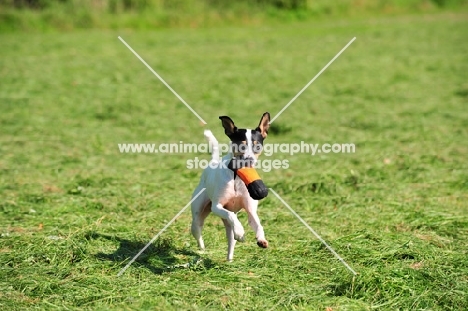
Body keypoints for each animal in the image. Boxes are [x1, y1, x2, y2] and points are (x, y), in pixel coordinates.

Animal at [190, 111, 270, 260]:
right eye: (241, 145)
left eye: (257, 146)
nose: (249, 160)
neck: (237, 177)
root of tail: (213, 161)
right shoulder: (217, 206)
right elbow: (232, 216)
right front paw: (241, 231)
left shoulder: (250, 210)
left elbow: (257, 223)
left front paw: (261, 239)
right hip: (198, 216)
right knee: (198, 231)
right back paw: (202, 250)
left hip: (227, 227)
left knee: (231, 239)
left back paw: (229, 259)